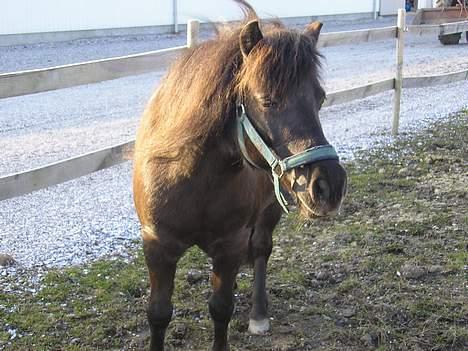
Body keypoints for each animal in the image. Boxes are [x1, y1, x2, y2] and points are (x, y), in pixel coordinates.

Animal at [133, 1, 346, 350]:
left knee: (261, 249)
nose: (329, 186)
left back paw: (259, 314)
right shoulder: (157, 245)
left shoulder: (229, 246)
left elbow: (221, 308)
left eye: (321, 98)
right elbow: (159, 313)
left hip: (270, 209)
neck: (192, 177)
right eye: (266, 100)